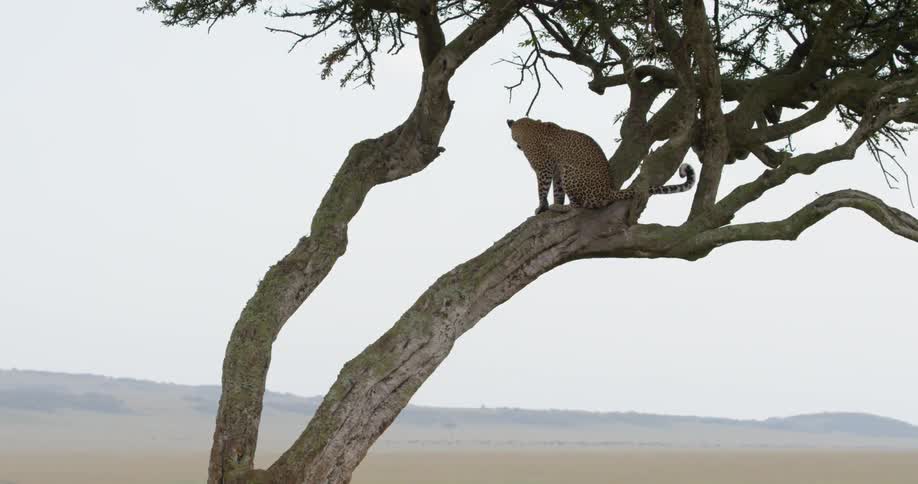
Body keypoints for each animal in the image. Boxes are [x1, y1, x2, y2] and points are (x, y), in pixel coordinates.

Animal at [507, 117, 696, 215]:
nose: (517, 145)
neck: (531, 126)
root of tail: (607, 190)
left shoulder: (544, 169)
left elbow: (542, 189)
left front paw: (542, 206)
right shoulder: (556, 172)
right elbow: (557, 191)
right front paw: (554, 202)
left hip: (570, 171)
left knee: (578, 207)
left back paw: (562, 208)